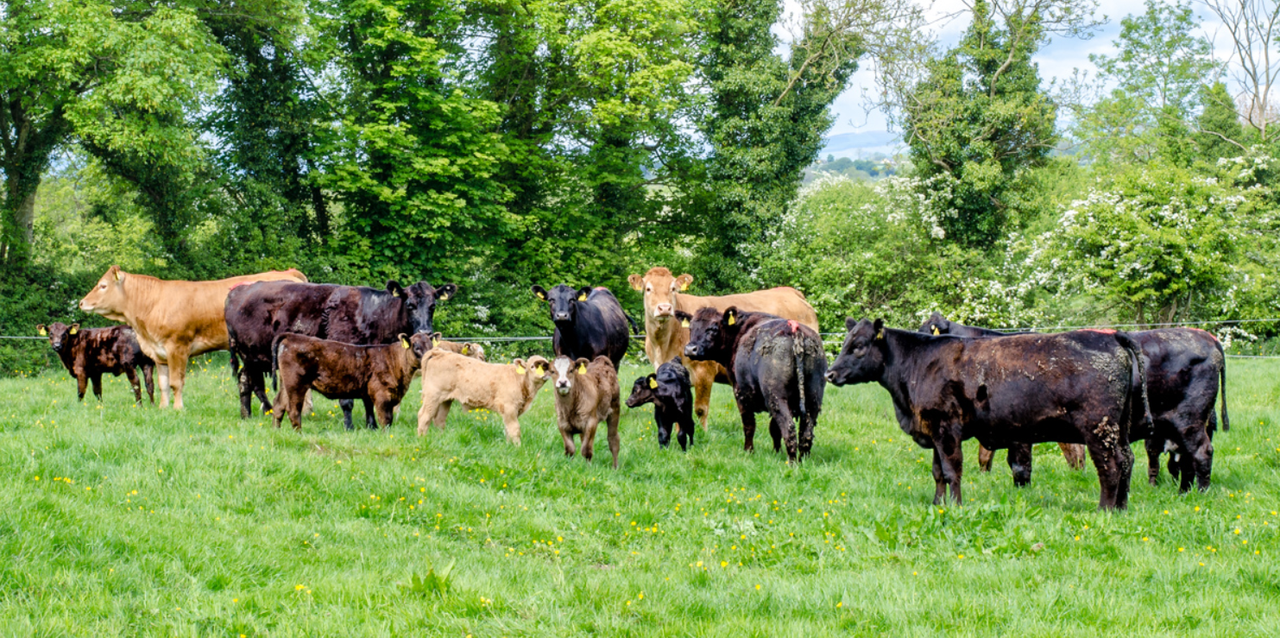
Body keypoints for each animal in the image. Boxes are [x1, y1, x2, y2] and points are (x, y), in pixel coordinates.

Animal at [77, 265, 307, 409]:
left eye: (103, 285)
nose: (81, 302)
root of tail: (288, 273)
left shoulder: (177, 347)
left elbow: (176, 382)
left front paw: (178, 408)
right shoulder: (159, 353)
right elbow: (163, 383)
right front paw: (163, 408)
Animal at [270, 333, 420, 431]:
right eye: (416, 347)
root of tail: (291, 336)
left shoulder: (368, 393)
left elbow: (370, 411)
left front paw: (372, 429)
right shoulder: (382, 395)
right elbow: (386, 418)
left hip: (286, 384)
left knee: (278, 405)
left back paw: (276, 430)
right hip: (296, 385)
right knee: (293, 410)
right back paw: (299, 433)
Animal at [416, 351, 551, 444]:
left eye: (547, 366)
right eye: (532, 366)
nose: (545, 373)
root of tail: (441, 352)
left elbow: (508, 429)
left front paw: (509, 445)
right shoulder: (509, 407)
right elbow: (515, 429)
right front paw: (518, 448)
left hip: (445, 400)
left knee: (439, 419)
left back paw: (440, 438)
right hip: (433, 396)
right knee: (424, 416)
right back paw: (422, 439)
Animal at [627, 267, 819, 429]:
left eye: (673, 288)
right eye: (648, 289)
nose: (665, 308)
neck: (664, 344)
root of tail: (790, 292)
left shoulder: (704, 372)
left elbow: (700, 409)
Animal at [678, 307, 827, 463]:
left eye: (713, 328)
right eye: (691, 327)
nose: (690, 349)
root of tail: (794, 330)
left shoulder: (741, 393)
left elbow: (749, 425)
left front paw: (748, 451)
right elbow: (774, 429)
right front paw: (776, 452)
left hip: (776, 397)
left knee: (789, 428)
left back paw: (791, 462)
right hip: (813, 397)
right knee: (806, 433)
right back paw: (803, 460)